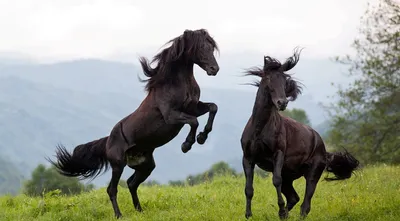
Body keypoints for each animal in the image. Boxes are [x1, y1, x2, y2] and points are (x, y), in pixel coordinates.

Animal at [49, 28, 222, 218]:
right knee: (112, 189)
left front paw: (202, 137)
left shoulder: (194, 107)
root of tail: (108, 141)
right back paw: (119, 215)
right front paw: (187, 144)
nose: (214, 69)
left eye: (211, 47)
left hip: (145, 166)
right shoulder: (171, 116)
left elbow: (213, 108)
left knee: (132, 183)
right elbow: (194, 121)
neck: (174, 83)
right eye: (200, 47)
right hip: (118, 165)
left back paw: (140, 210)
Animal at [241, 49, 360, 219]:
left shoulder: (278, 155)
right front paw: (249, 215)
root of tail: (323, 148)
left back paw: (288, 213)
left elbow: (276, 180)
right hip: (289, 176)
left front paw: (280, 210)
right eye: (268, 78)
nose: (282, 103)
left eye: (284, 79)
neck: (259, 128)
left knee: (305, 203)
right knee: (294, 198)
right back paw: (284, 214)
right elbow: (248, 189)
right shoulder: (248, 158)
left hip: (312, 173)